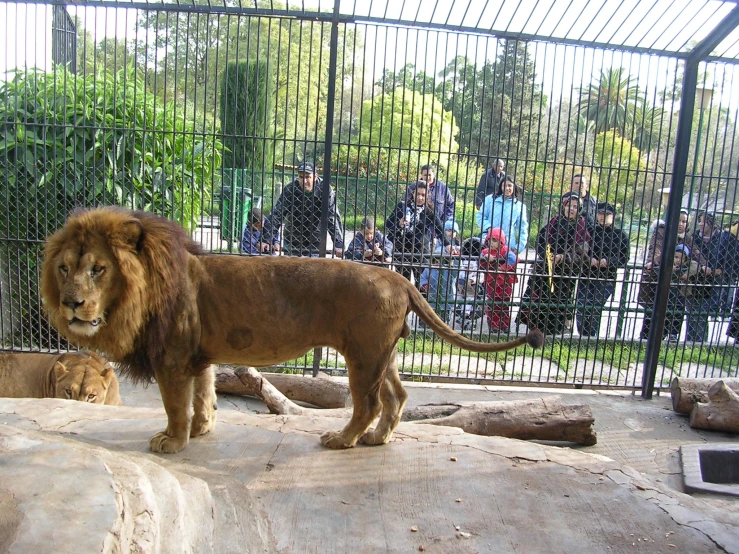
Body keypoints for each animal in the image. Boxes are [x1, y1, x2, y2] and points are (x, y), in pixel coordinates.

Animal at [42, 207, 544, 452]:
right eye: (64, 268)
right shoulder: (197, 357)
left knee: (367, 403)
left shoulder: (173, 358)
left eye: (98, 269)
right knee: (397, 397)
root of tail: (400, 277)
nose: (70, 303)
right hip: (382, 354)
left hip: (363, 355)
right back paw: (378, 439)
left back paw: (342, 440)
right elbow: (204, 396)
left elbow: (175, 406)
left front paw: (173, 441)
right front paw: (202, 431)